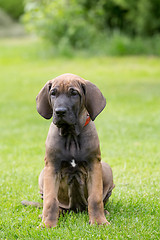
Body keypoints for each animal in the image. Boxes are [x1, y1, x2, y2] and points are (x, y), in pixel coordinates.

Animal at [36, 74, 114, 228]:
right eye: (53, 93)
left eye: (74, 93)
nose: (60, 111)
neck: (71, 134)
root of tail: (75, 209)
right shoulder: (51, 168)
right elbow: (50, 200)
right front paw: (47, 224)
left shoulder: (94, 166)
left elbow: (95, 199)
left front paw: (99, 222)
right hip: (42, 175)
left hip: (107, 169)